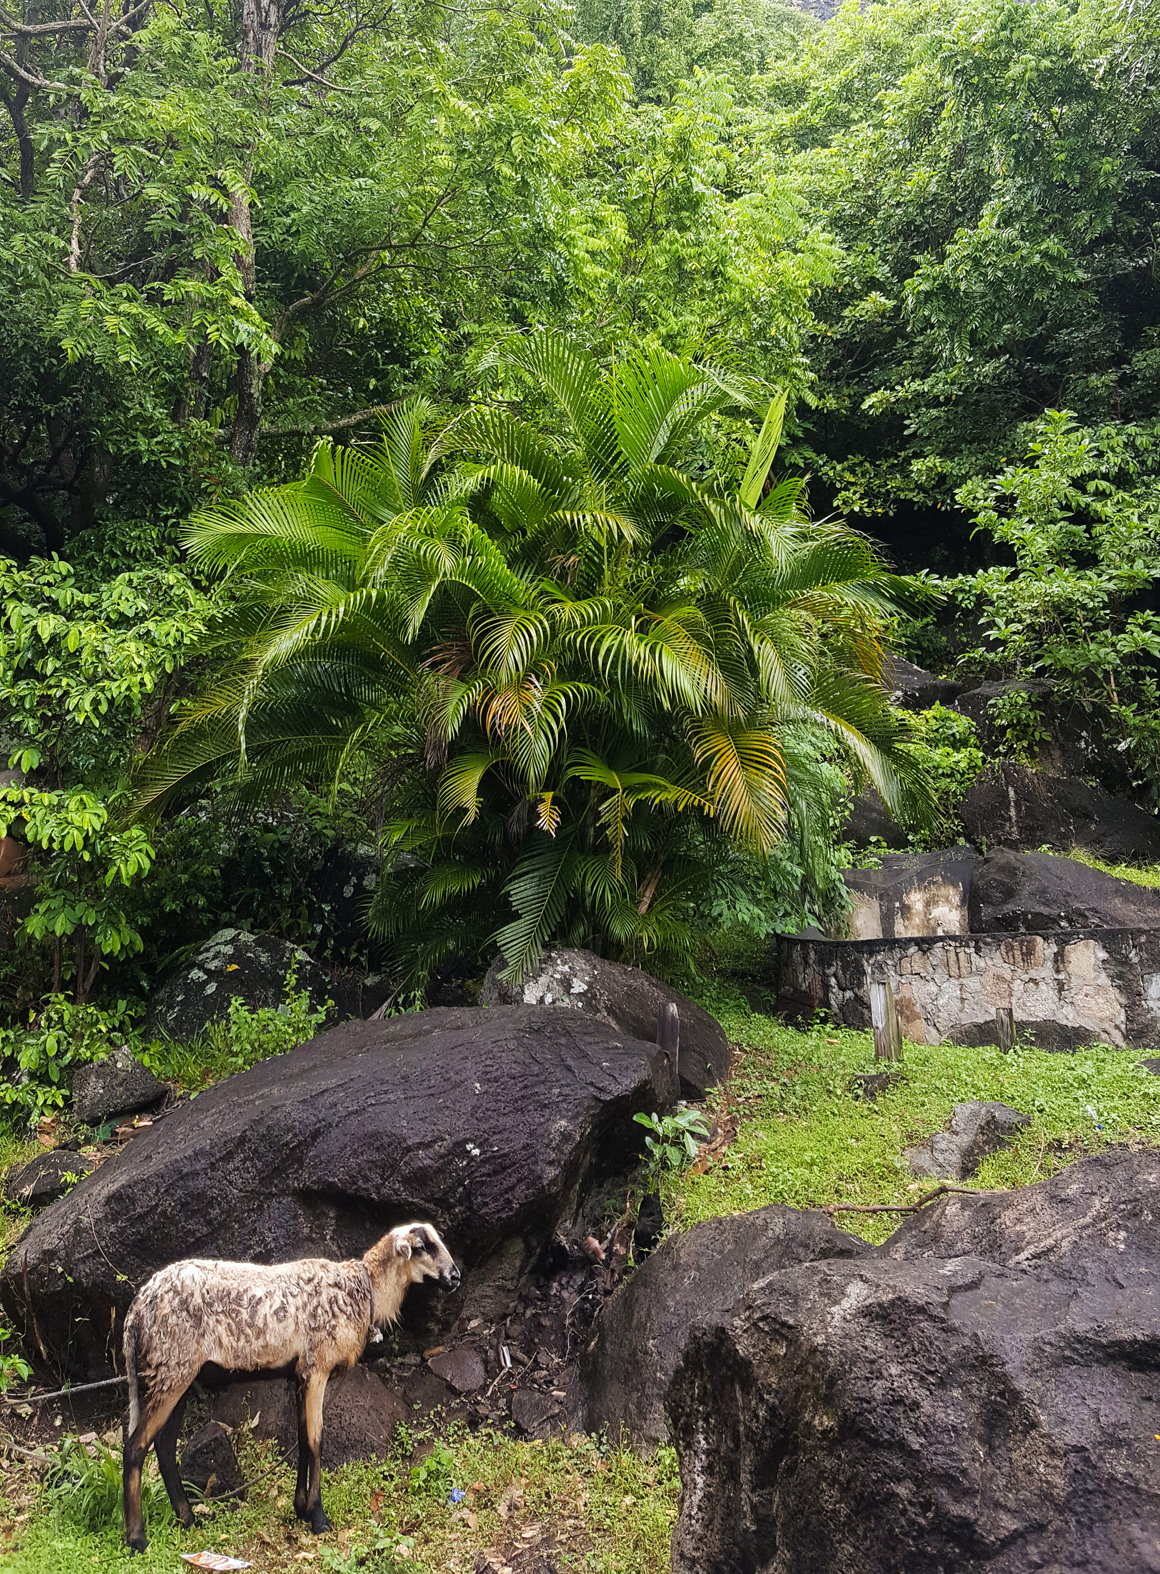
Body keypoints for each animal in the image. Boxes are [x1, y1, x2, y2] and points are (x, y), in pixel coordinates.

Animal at [121, 1215, 456, 1548]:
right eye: (422, 1246)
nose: (455, 1277)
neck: (362, 1289)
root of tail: (136, 1308)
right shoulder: (317, 1367)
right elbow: (316, 1440)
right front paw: (319, 1517)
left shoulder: (301, 1375)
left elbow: (302, 1439)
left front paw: (300, 1508)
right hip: (172, 1365)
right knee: (135, 1446)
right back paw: (137, 1538)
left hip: (178, 1373)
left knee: (164, 1447)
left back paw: (187, 1519)